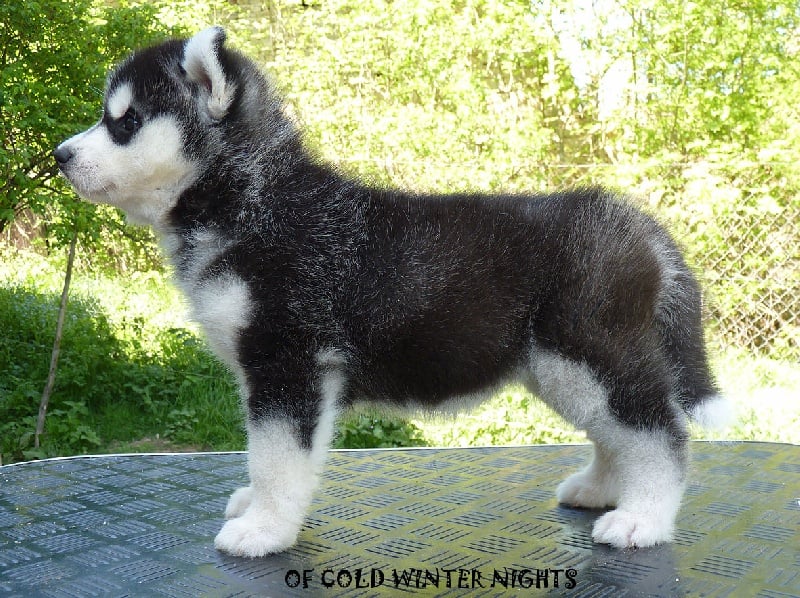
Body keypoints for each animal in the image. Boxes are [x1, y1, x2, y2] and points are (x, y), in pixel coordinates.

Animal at [54, 27, 731, 557]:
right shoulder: (277, 375)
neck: (254, 198)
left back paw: (643, 517)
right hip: (562, 369)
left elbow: (277, 459)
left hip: (590, 353)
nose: (60, 155)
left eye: (126, 122)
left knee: (659, 433)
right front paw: (256, 505)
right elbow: (269, 456)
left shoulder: (290, 361)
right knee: (618, 431)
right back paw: (600, 489)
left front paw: (264, 529)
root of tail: (636, 221)